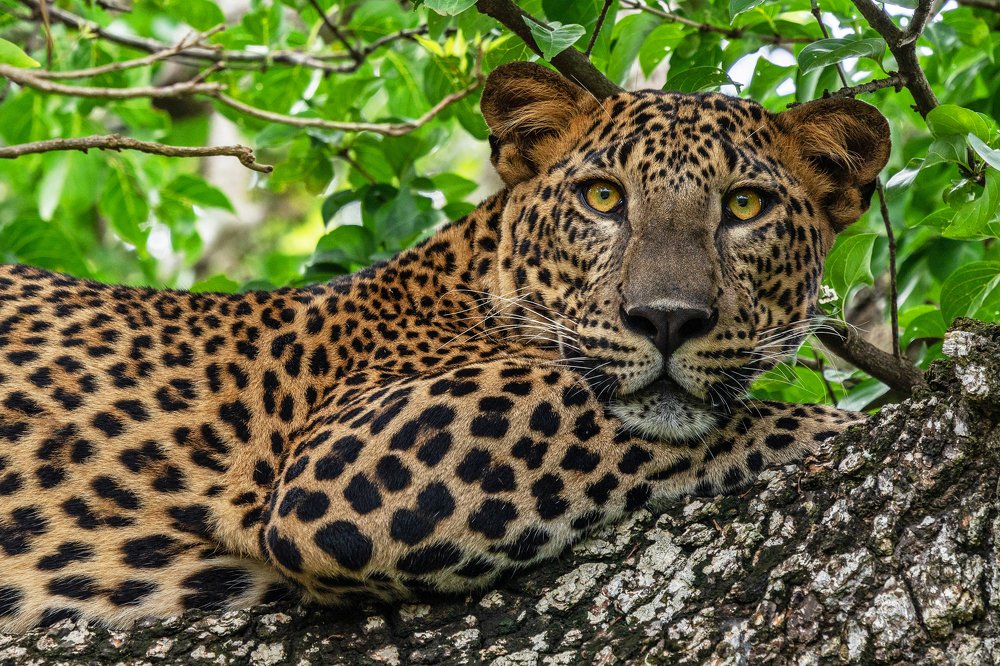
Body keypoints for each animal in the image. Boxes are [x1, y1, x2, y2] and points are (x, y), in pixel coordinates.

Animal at [0, 61, 890, 631]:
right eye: (603, 198)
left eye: (745, 207)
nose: (666, 319)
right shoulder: (348, 458)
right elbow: (650, 417)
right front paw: (847, 424)